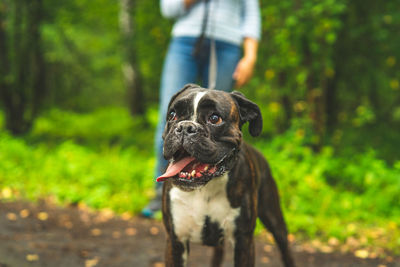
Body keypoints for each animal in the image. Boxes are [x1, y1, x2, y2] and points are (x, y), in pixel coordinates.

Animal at [158, 84, 296, 267]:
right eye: (173, 115)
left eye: (215, 118)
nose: (185, 127)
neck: (205, 189)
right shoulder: (176, 240)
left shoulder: (244, 242)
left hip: (275, 220)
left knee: (285, 248)